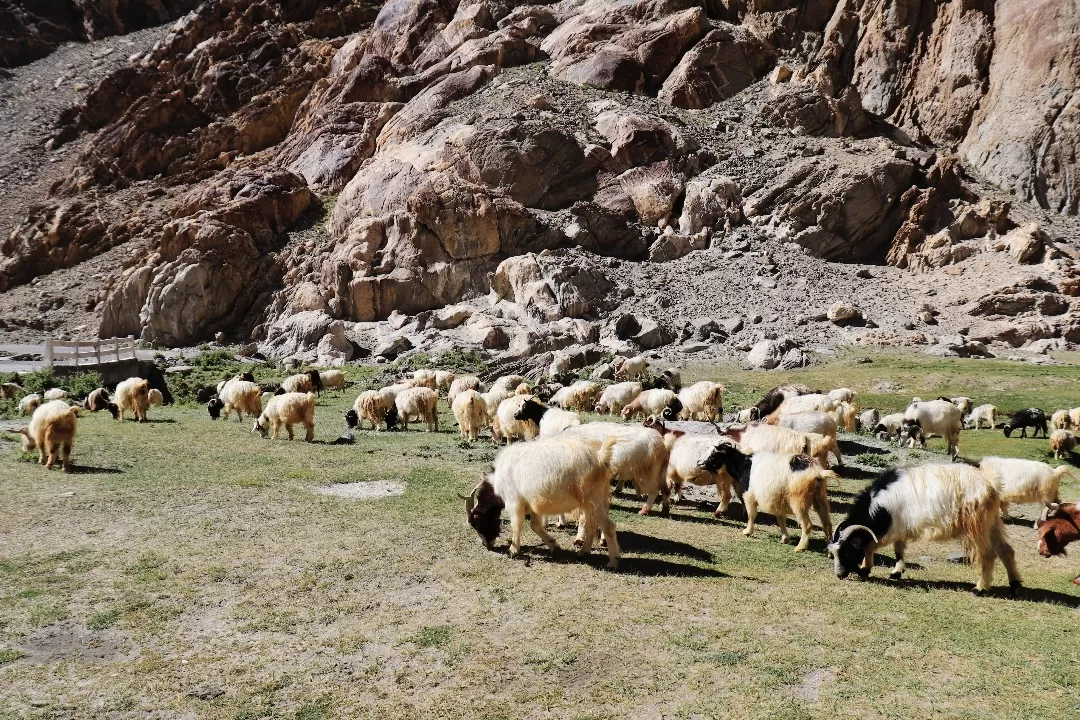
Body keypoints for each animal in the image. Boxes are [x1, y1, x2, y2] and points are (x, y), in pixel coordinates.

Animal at [460, 436, 622, 569]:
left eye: (477, 523)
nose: (487, 544)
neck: (499, 479)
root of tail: (600, 457)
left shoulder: (514, 502)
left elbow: (516, 526)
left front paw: (513, 551)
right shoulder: (532, 506)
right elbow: (535, 526)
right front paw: (554, 546)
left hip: (592, 499)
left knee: (608, 526)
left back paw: (613, 562)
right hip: (594, 501)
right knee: (591, 525)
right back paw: (583, 552)